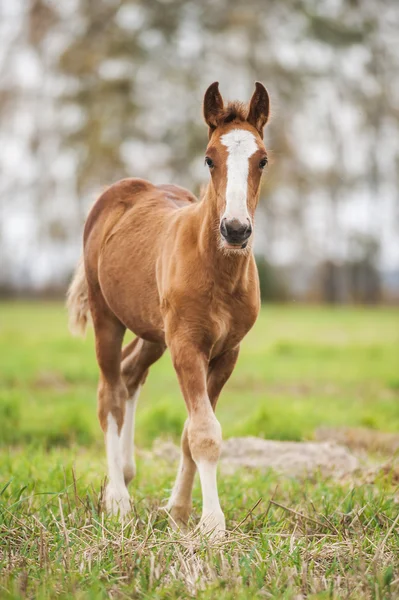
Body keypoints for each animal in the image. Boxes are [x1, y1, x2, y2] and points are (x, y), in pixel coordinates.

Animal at [67, 82, 270, 536]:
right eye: (209, 158)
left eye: (263, 160)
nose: (235, 230)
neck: (217, 270)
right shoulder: (187, 346)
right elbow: (204, 432)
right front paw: (212, 524)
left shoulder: (226, 352)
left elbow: (191, 431)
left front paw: (178, 511)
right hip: (109, 319)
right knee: (109, 393)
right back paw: (118, 500)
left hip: (153, 333)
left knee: (130, 375)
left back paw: (123, 476)